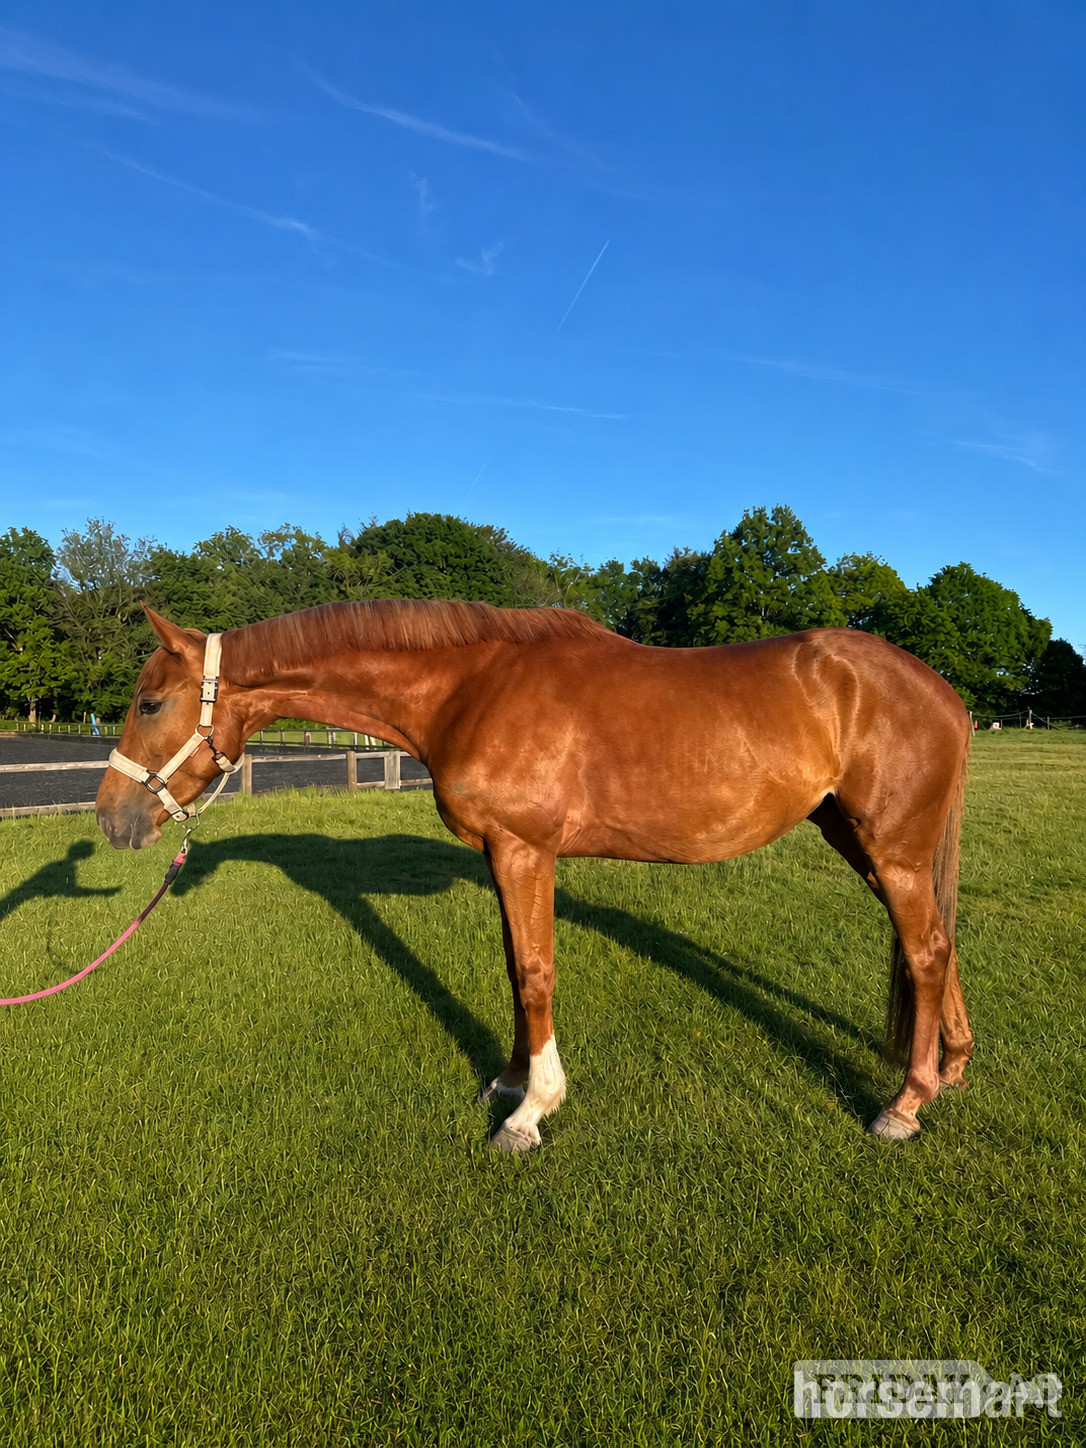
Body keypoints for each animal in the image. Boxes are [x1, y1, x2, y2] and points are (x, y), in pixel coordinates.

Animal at [96, 600, 973, 1151]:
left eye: (149, 702)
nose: (111, 819)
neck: (471, 687)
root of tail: (942, 690)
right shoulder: (500, 854)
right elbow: (512, 968)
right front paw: (511, 1083)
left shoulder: (526, 850)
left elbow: (534, 972)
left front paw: (531, 1113)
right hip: (859, 840)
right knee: (937, 943)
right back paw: (951, 1070)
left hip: (890, 847)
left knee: (926, 950)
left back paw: (905, 1104)